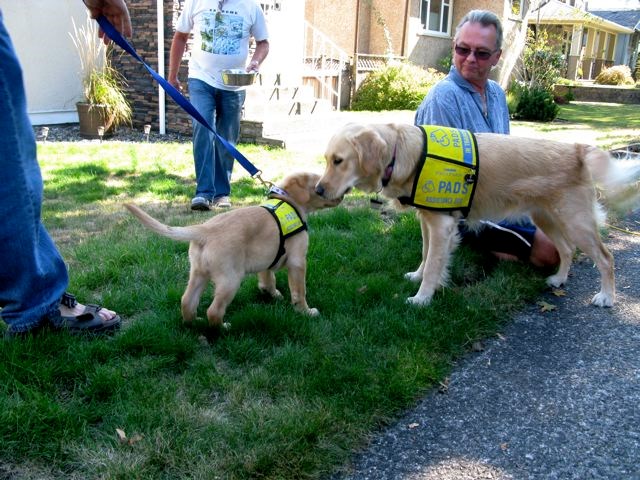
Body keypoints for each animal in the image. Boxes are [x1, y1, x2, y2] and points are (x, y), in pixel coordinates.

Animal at [127, 172, 342, 326]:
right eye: (319, 186)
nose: (342, 194)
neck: (288, 201)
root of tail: (205, 230)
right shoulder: (298, 261)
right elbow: (299, 291)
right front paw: (306, 312)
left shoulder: (267, 258)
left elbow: (268, 279)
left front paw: (271, 294)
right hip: (231, 278)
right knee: (213, 310)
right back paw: (222, 327)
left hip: (198, 273)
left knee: (187, 301)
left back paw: (194, 322)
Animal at [316, 122, 640, 306]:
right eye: (327, 159)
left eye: (339, 161)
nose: (318, 190)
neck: (404, 154)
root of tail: (578, 148)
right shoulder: (427, 220)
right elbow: (425, 255)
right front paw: (416, 276)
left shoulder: (442, 225)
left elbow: (433, 265)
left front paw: (422, 298)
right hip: (547, 217)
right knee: (567, 249)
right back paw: (559, 279)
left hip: (576, 222)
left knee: (606, 258)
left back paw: (607, 297)